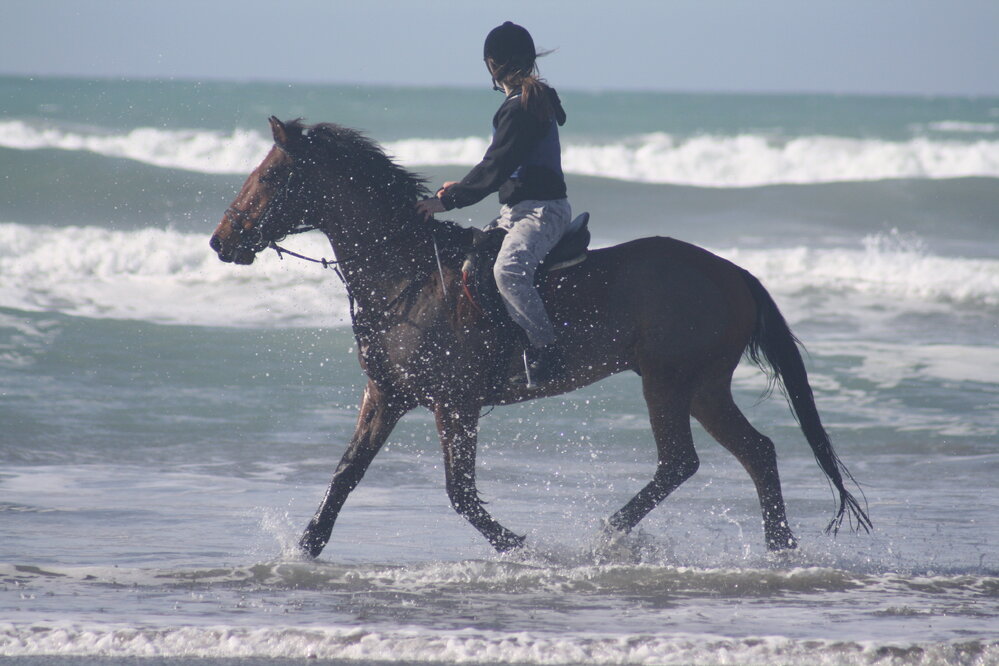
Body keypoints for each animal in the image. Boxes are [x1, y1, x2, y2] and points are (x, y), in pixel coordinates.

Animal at [210, 117, 870, 558]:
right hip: (704, 387)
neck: (411, 274)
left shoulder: (455, 404)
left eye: (269, 176)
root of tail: (734, 272)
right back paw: (779, 549)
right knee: (757, 452)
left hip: (668, 382)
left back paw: (608, 535)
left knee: (680, 462)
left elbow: (460, 493)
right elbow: (346, 473)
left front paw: (519, 546)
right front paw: (304, 548)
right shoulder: (387, 396)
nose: (220, 242)